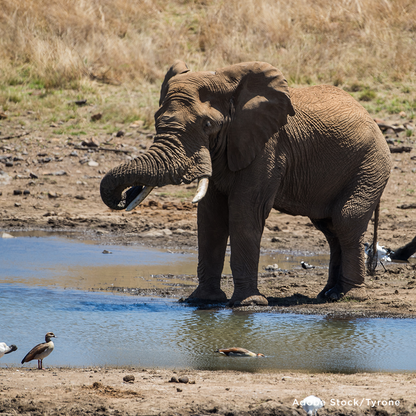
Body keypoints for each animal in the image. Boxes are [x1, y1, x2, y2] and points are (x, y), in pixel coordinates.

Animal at [99, 61, 392, 306]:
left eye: (207, 124)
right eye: (156, 120)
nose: (126, 196)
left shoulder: (267, 148)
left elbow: (245, 212)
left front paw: (248, 304)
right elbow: (211, 217)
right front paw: (201, 301)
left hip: (370, 164)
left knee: (346, 220)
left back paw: (348, 296)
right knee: (329, 228)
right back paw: (327, 294)